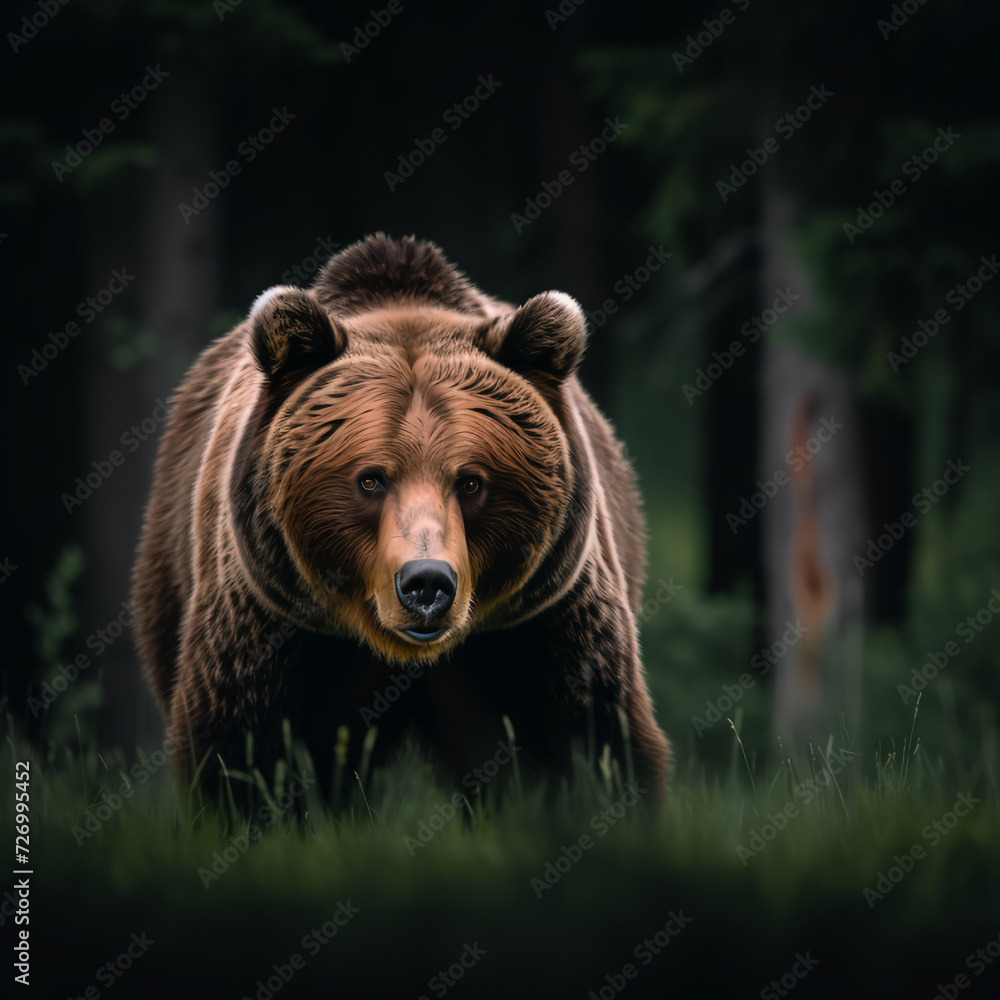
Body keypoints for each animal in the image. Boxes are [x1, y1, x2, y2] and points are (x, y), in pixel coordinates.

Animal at [133, 233, 670, 807]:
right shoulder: (271, 622)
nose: (427, 582)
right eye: (370, 479)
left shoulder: (541, 622)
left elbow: (589, 744)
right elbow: (243, 753)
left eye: (470, 481)